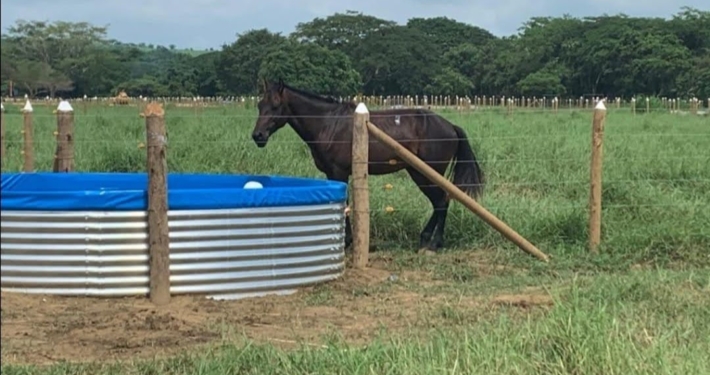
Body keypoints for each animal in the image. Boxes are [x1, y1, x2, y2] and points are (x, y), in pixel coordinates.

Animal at [250, 79, 484, 256]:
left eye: (276, 105)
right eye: (260, 105)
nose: (258, 136)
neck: (328, 123)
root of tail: (450, 126)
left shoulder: (339, 172)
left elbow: (345, 203)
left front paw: (347, 242)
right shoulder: (331, 173)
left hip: (425, 174)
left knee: (441, 202)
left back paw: (434, 244)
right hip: (420, 173)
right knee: (440, 202)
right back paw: (426, 239)